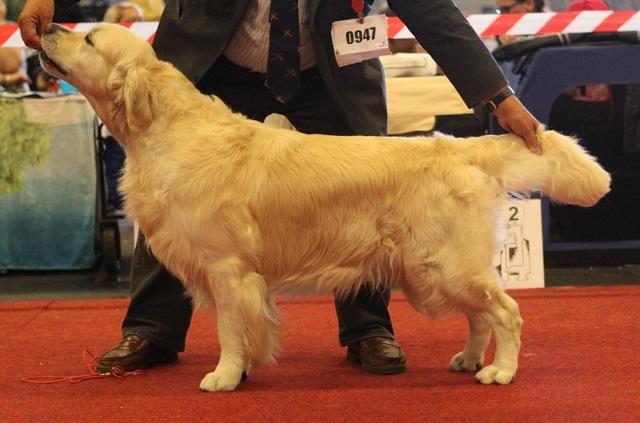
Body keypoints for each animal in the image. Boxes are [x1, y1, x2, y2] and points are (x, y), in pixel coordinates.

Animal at [38, 24, 608, 392]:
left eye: (89, 40)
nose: (45, 27)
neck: (168, 130)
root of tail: (460, 146)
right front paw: (239, 369)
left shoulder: (228, 268)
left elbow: (229, 329)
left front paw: (225, 376)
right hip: (434, 270)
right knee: (480, 317)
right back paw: (469, 360)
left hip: (448, 265)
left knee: (505, 312)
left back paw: (500, 371)